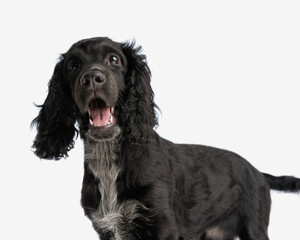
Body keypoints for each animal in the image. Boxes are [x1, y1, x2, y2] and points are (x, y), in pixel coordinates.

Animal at [31, 36, 298, 239]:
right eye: (73, 66)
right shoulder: (106, 228)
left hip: (254, 226)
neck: (110, 161)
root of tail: (257, 171)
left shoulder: (163, 225)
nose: (92, 78)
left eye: (113, 59)